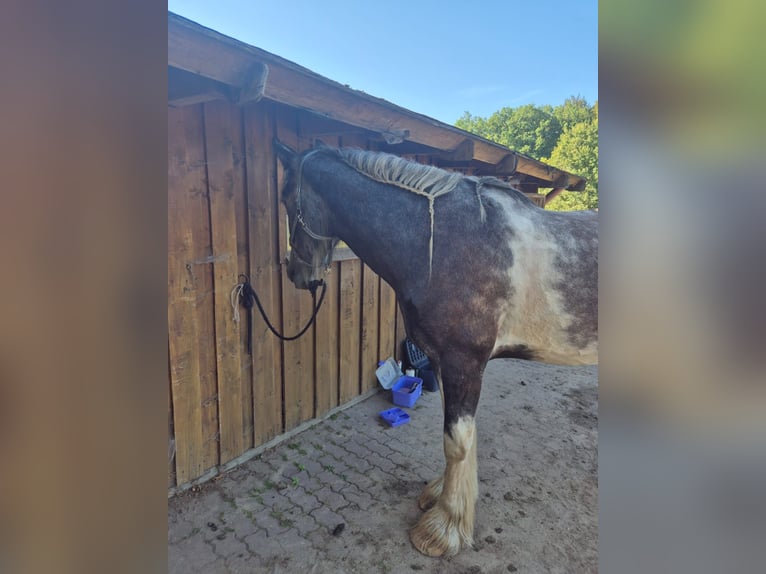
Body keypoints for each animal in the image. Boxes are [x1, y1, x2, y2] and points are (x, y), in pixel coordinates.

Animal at [274, 139, 598, 557]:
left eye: (285, 197)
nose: (297, 275)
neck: (440, 242)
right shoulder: (445, 362)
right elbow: (455, 439)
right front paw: (444, 498)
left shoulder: (464, 362)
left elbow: (456, 443)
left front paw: (443, 530)